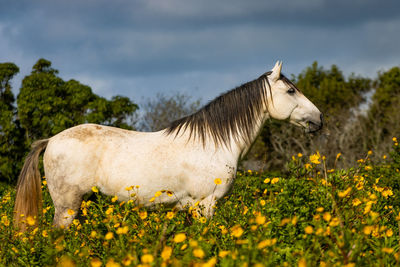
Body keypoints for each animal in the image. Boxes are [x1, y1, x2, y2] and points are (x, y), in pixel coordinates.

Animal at [14, 61, 324, 230]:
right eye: (291, 90)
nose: (319, 118)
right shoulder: (205, 205)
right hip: (66, 208)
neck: (213, 143)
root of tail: (51, 140)